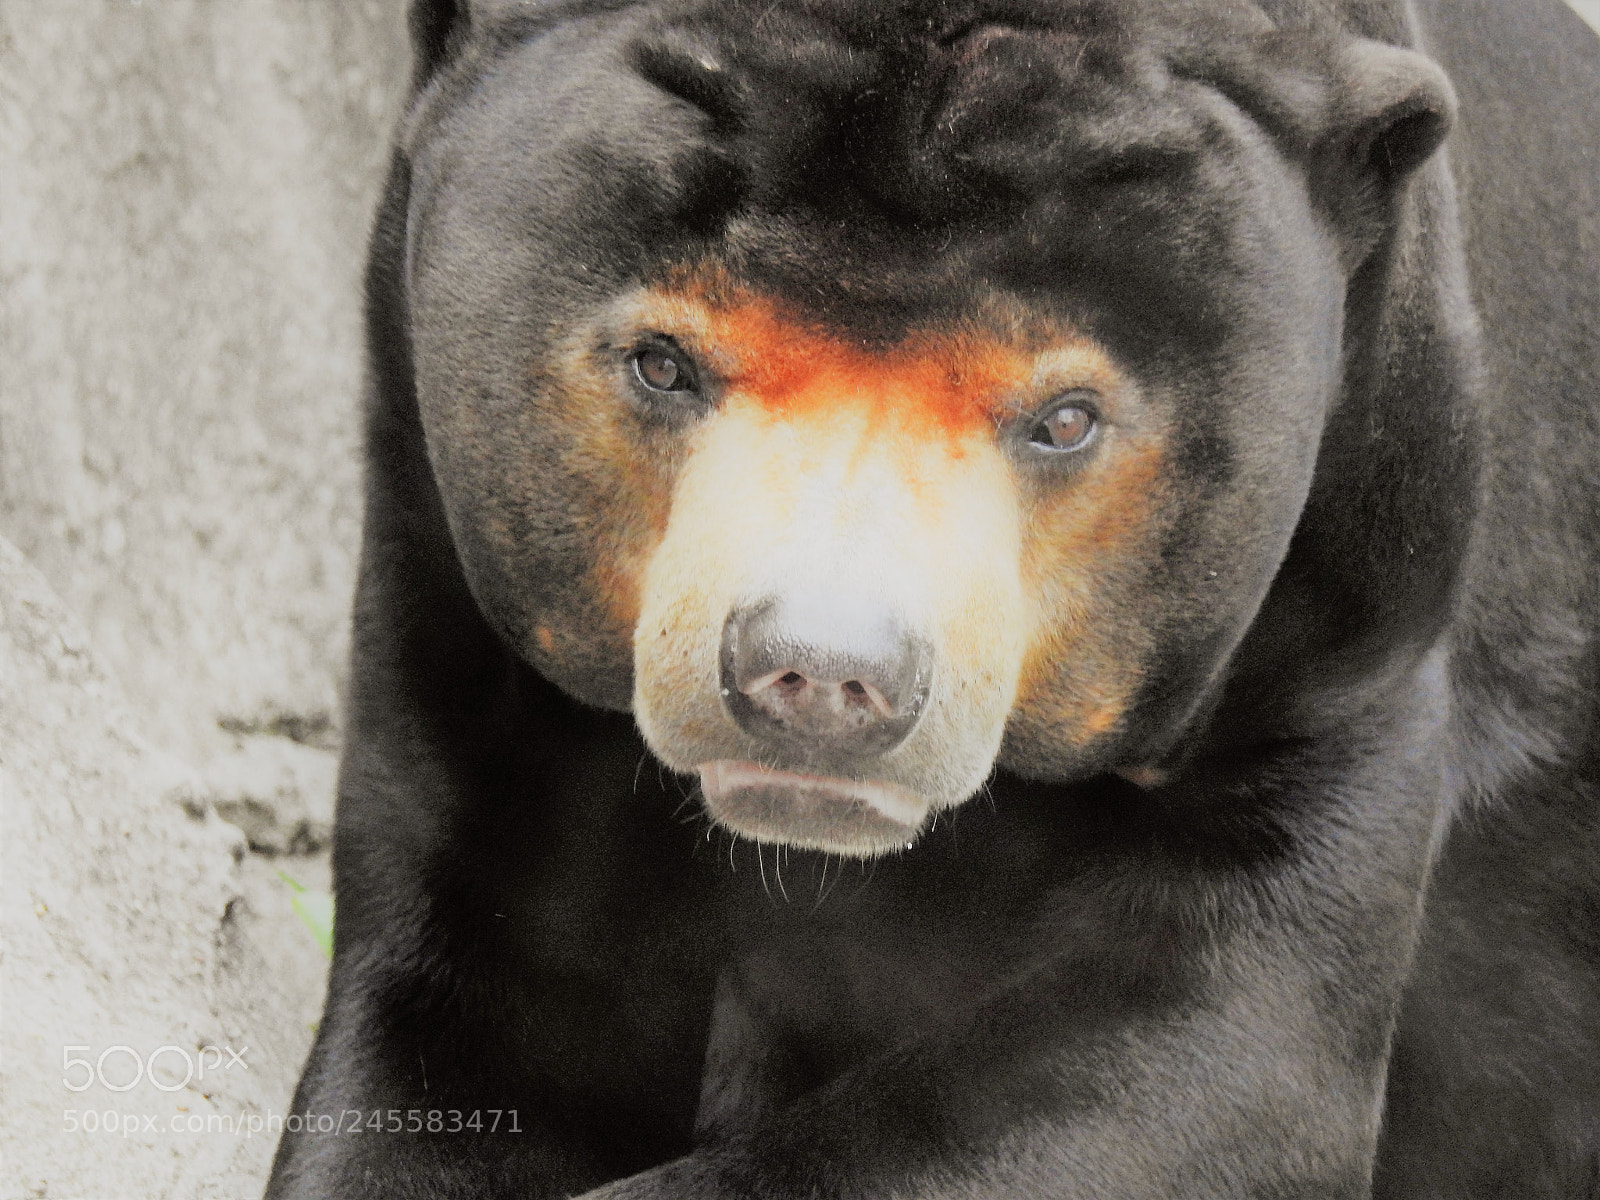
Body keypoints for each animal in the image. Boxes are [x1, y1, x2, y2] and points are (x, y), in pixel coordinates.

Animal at [267, 0, 1600, 1196]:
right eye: (661, 360)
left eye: (1065, 417)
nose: (821, 672)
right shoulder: (457, 597)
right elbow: (476, 1007)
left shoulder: (1346, 618)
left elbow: (1202, 1054)